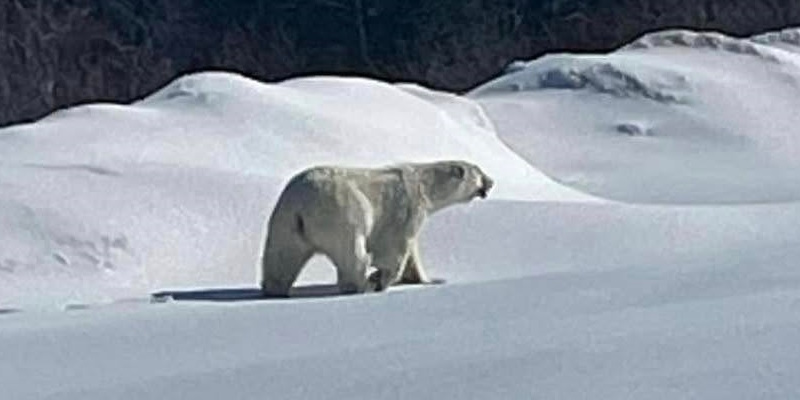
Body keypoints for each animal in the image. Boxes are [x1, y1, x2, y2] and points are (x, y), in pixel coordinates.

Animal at [260, 160, 494, 297]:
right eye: (479, 171)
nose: (491, 182)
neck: (423, 184)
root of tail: (302, 206)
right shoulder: (406, 209)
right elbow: (394, 248)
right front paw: (380, 279)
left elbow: (412, 254)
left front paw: (429, 280)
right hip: (343, 213)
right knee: (353, 253)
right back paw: (363, 284)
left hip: (284, 222)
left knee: (281, 257)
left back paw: (275, 290)